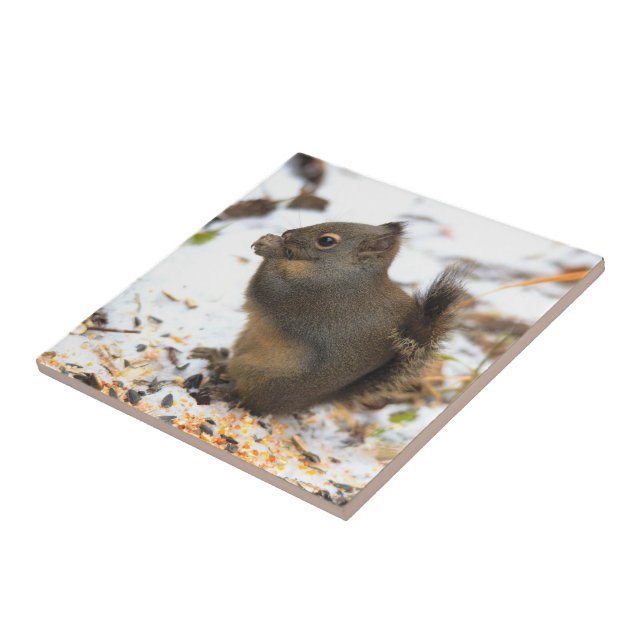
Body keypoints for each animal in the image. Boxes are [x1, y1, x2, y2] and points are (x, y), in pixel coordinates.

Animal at [194, 221, 469, 416]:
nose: (287, 233)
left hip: (261, 377)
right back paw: (216, 358)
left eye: (326, 241)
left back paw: (226, 392)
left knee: (248, 400)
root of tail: (315, 400)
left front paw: (271, 247)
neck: (349, 274)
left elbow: (267, 284)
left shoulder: (307, 294)